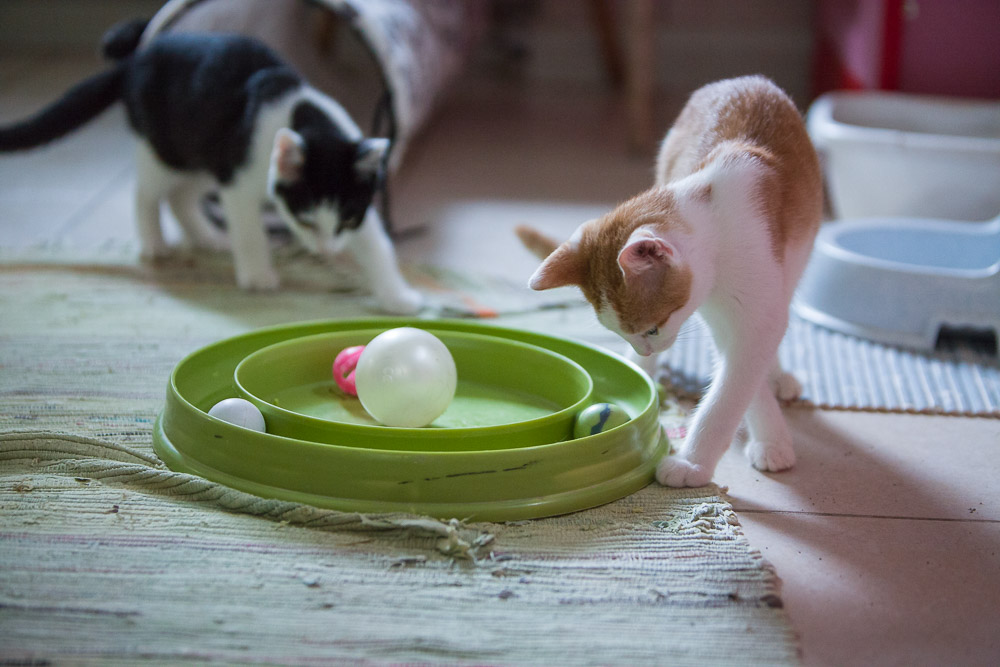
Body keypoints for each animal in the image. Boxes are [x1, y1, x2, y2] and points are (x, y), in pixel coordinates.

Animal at [0, 20, 422, 314]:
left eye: (346, 219)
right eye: (305, 218)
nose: (327, 249)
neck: (303, 113)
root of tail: (134, 60)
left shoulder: (358, 200)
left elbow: (377, 243)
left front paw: (398, 296)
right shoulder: (237, 178)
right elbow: (248, 229)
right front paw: (257, 275)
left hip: (204, 153)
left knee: (182, 196)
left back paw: (207, 237)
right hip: (168, 149)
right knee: (147, 193)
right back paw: (155, 244)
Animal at [520, 75, 824, 488]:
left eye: (652, 328)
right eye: (622, 333)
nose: (646, 351)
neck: (716, 223)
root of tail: (746, 79)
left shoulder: (755, 302)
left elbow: (736, 381)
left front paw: (694, 463)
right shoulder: (718, 312)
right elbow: (739, 370)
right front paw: (770, 436)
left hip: (794, 262)